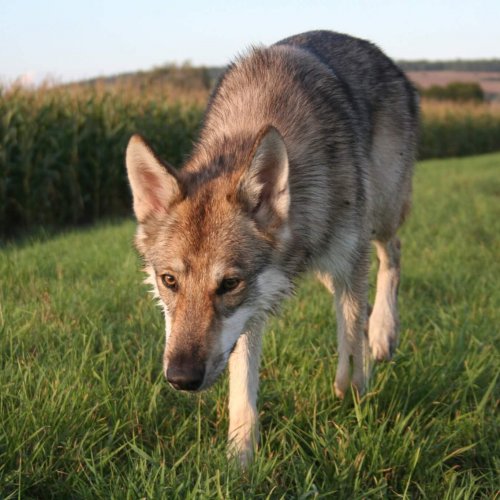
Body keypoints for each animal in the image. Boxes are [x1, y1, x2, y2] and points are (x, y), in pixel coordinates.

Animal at [125, 29, 418, 464]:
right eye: (169, 281)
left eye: (229, 284)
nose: (180, 378)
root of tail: (387, 60)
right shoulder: (256, 306)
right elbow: (243, 386)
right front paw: (241, 458)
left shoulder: (346, 262)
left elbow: (349, 347)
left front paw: (353, 398)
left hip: (379, 218)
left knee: (391, 254)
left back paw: (383, 333)